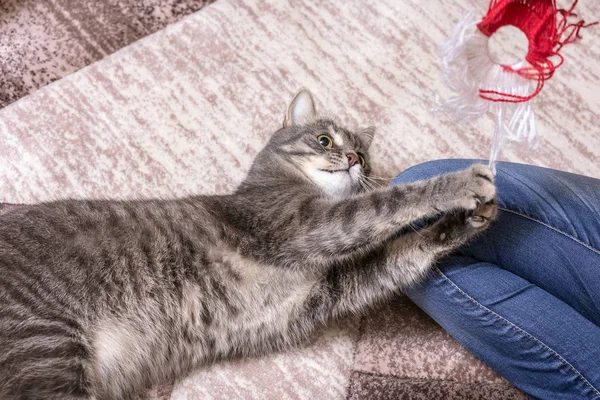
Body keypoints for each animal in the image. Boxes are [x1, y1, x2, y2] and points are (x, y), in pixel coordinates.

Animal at [0, 89, 496, 398]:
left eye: (365, 156)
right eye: (324, 139)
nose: (354, 158)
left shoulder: (330, 286)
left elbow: (402, 250)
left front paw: (466, 220)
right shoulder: (302, 226)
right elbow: (388, 203)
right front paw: (462, 182)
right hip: (45, 350)